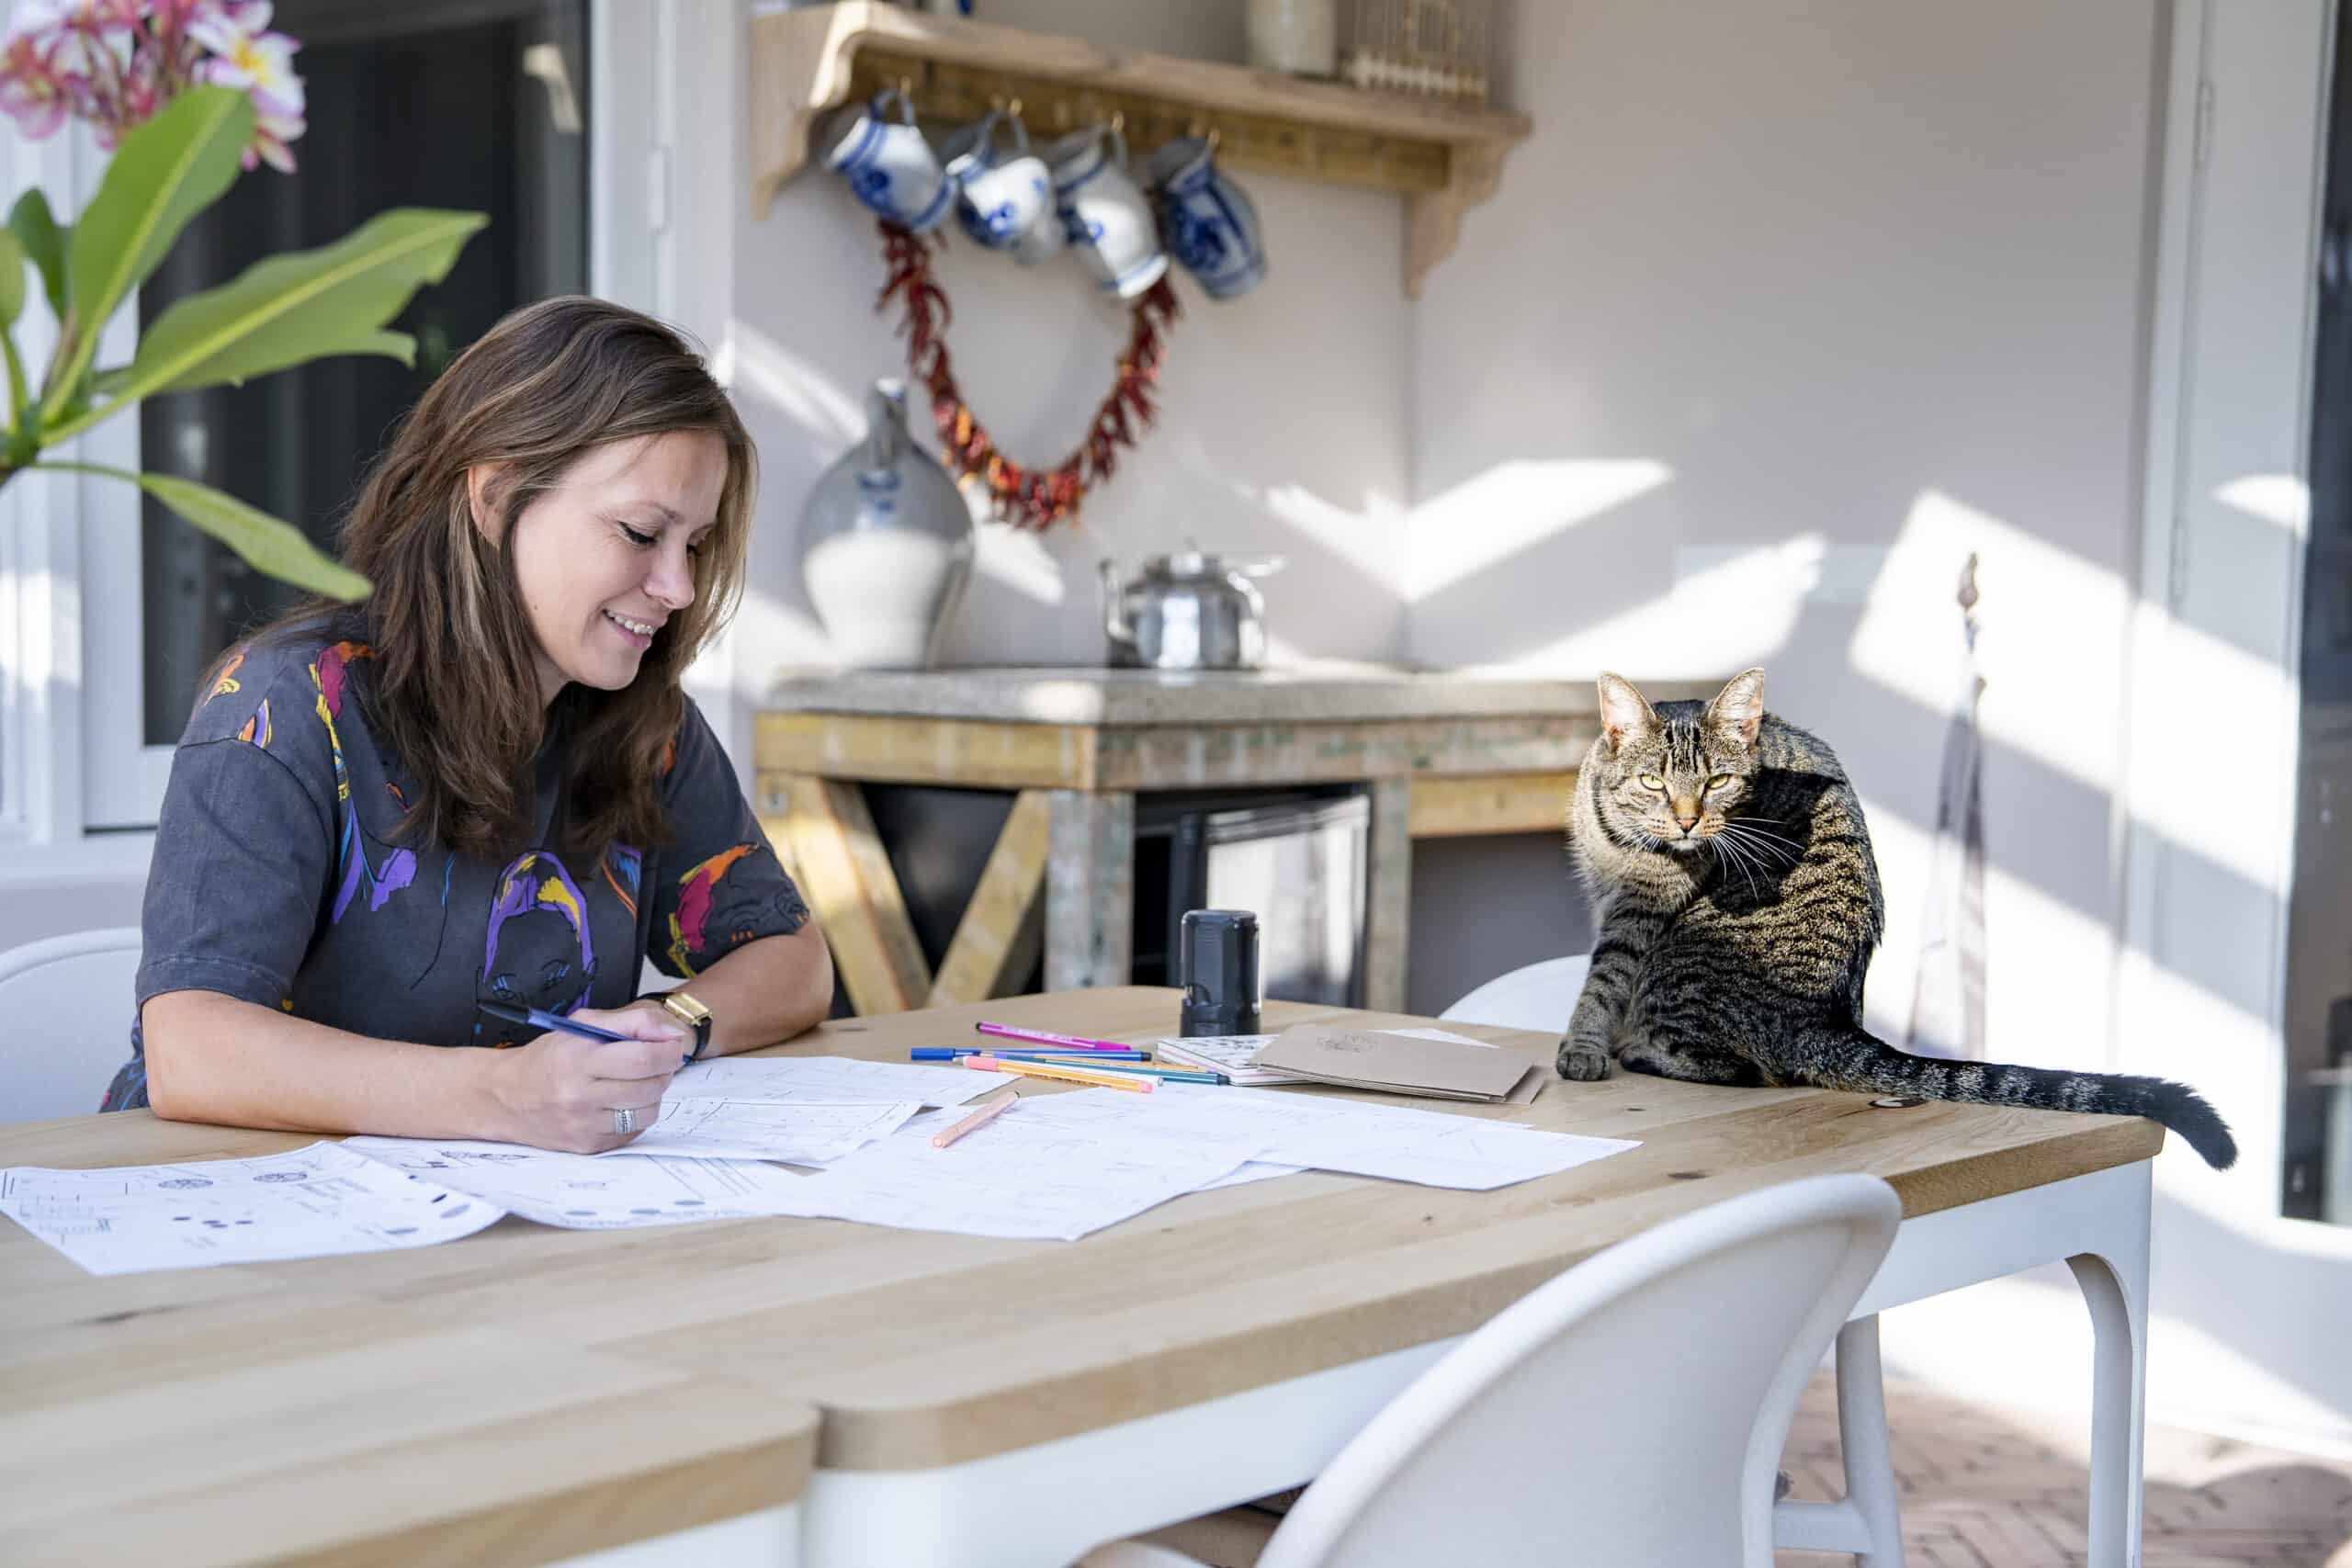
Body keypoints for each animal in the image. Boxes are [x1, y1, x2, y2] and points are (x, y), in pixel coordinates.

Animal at [1561, 662, 2239, 1166]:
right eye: (1653, 782)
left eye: (1718, 782)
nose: (1686, 820)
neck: (1623, 846)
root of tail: (1827, 1019)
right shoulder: (1605, 898)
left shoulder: (1640, 917)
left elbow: (1604, 980)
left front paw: (1584, 1047)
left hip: (1679, 965)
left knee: (1738, 1066)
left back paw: (1642, 1051)